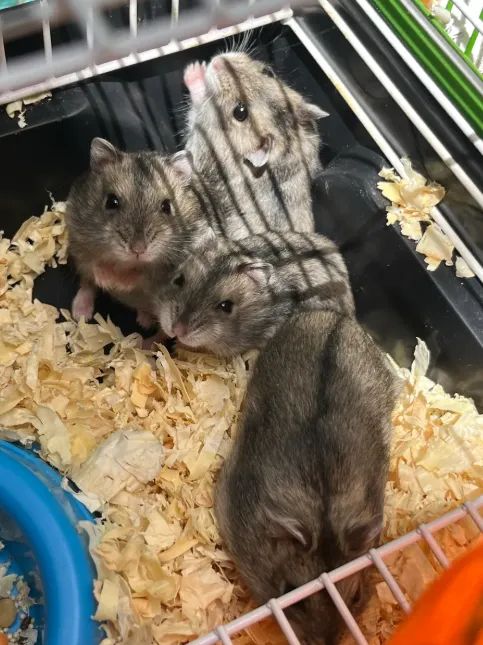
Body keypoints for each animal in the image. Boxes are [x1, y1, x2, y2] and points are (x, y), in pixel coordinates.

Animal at [66, 138, 205, 325]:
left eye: (167, 207)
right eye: (111, 202)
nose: (138, 250)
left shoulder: (167, 269)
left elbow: (143, 276)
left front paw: (118, 282)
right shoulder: (79, 241)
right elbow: (93, 265)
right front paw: (107, 280)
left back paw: (145, 320)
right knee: (87, 284)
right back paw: (81, 314)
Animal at [183, 52, 328, 239]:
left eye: (240, 112)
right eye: (268, 72)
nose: (218, 62)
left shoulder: (202, 140)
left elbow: (195, 112)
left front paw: (193, 69)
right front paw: (198, 66)